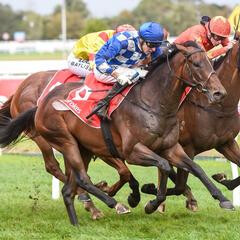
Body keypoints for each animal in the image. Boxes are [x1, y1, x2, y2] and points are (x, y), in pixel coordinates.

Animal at [0, 40, 232, 226]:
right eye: (196, 64)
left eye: (211, 62)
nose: (219, 93)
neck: (154, 103)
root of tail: (40, 104)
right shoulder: (132, 151)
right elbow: (164, 166)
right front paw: (149, 203)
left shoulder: (171, 147)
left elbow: (195, 168)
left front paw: (222, 198)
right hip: (63, 141)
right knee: (77, 176)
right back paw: (114, 203)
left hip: (83, 147)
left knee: (70, 187)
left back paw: (78, 221)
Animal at [142, 36, 240, 212]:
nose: (219, 93)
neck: (217, 107)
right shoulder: (188, 147)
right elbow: (180, 184)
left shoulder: (226, 143)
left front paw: (223, 179)